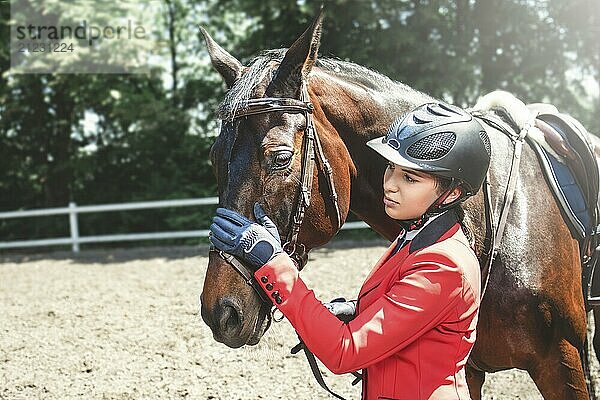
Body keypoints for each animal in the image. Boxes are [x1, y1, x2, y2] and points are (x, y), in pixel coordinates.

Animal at [199, 13, 592, 400]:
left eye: (280, 158)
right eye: (214, 159)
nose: (221, 313)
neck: (490, 219)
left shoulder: (562, 358)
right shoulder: (467, 369)